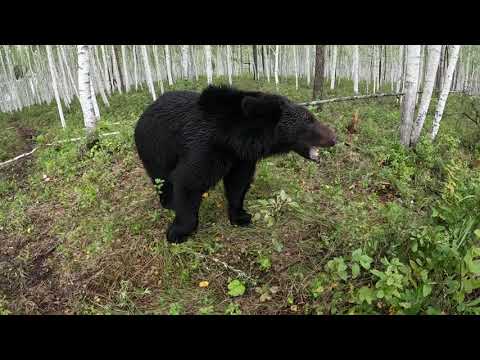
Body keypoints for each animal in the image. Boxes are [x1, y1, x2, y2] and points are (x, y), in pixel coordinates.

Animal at [134, 84, 338, 243]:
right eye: (310, 120)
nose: (334, 138)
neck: (233, 138)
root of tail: (146, 110)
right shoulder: (204, 147)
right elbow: (189, 180)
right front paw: (177, 232)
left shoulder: (241, 157)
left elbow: (238, 183)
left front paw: (241, 216)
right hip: (155, 146)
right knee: (161, 177)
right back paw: (169, 202)